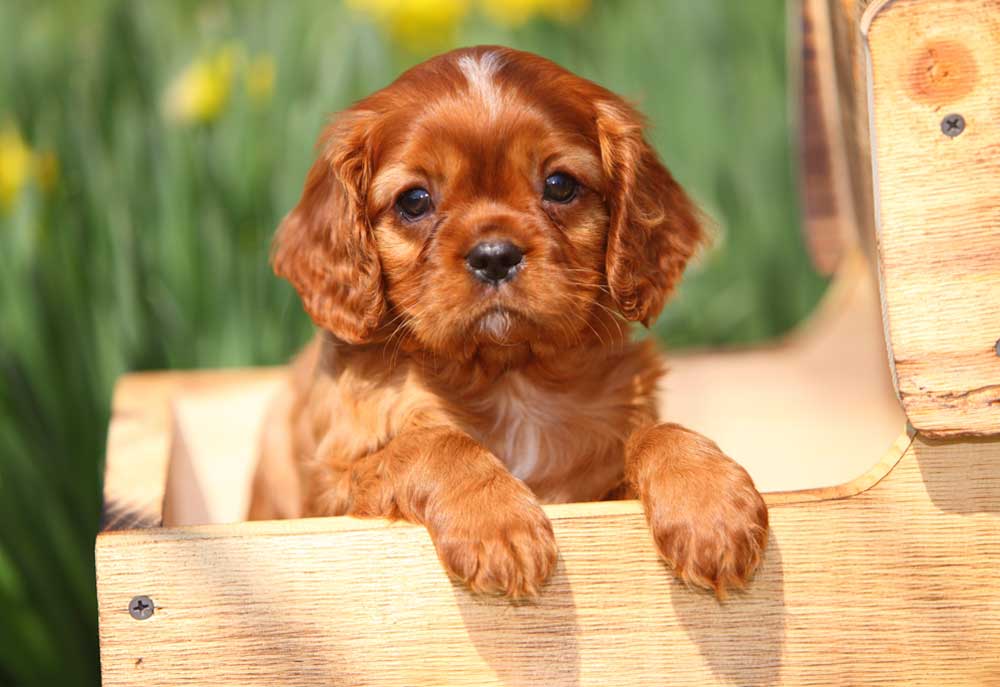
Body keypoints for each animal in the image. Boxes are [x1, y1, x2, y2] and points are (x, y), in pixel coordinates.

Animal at [250, 45, 764, 600]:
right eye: (414, 200)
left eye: (560, 185)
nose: (494, 256)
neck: (510, 380)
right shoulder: (331, 493)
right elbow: (432, 443)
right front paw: (496, 525)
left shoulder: (595, 488)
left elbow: (655, 433)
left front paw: (710, 506)